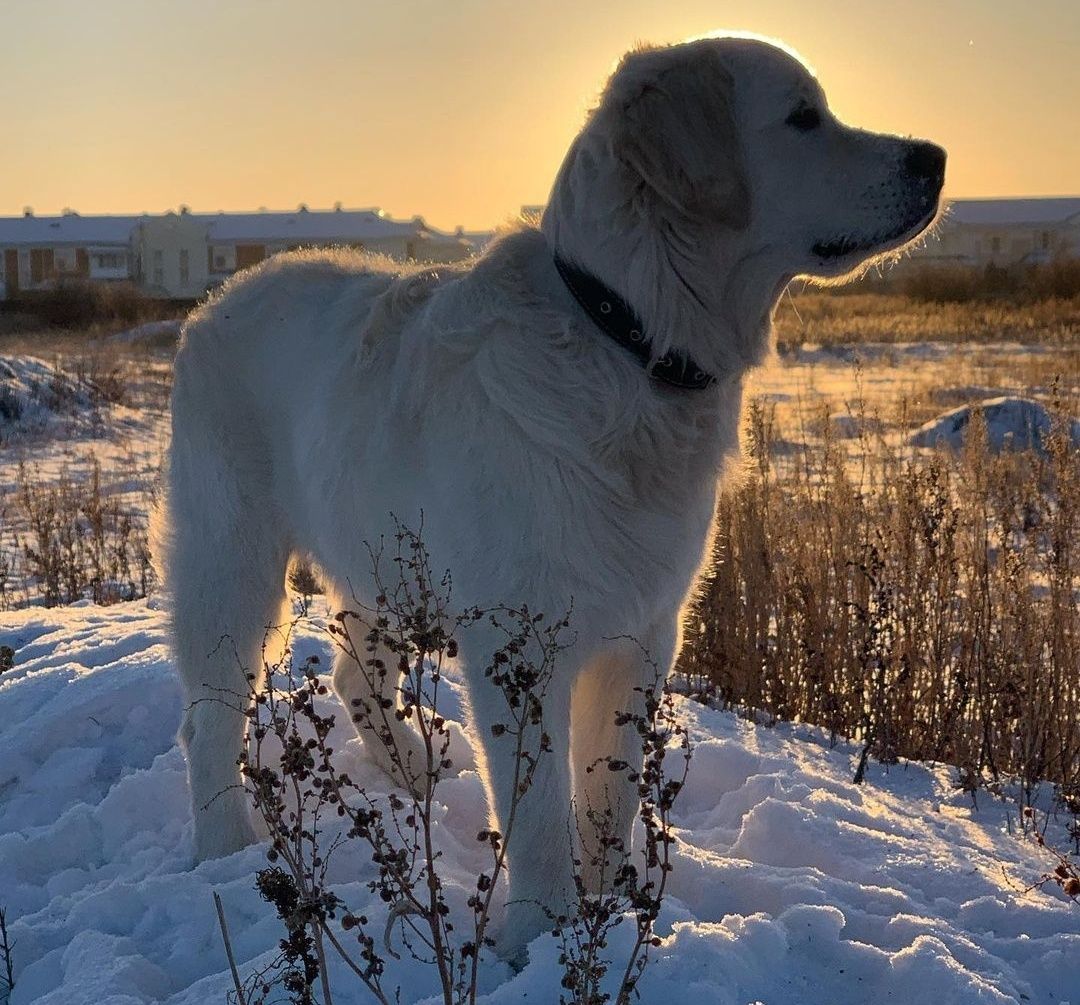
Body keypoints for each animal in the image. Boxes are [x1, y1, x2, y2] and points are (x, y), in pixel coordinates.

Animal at [156, 35, 941, 962]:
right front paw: (540, 934)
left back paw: (412, 770)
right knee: (209, 718)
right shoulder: (519, 640)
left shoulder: (643, 631)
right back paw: (225, 846)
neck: (627, 341)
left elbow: (608, 794)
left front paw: (604, 910)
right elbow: (536, 815)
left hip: (384, 559)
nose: (934, 157)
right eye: (802, 117)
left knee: (354, 671)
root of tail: (213, 301)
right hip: (231, 563)